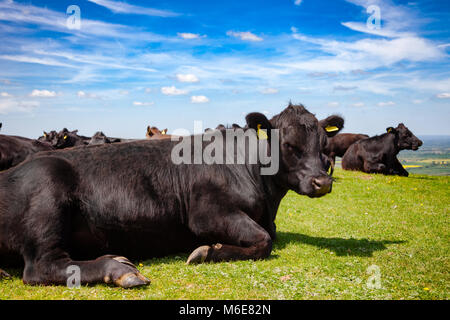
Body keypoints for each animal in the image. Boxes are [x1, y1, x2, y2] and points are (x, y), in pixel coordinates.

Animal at [0, 104, 342, 288]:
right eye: (288, 145)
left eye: (324, 144)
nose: (322, 181)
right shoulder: (206, 213)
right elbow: (263, 241)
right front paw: (208, 251)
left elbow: (268, 235)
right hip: (47, 190)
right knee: (41, 267)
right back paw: (119, 269)